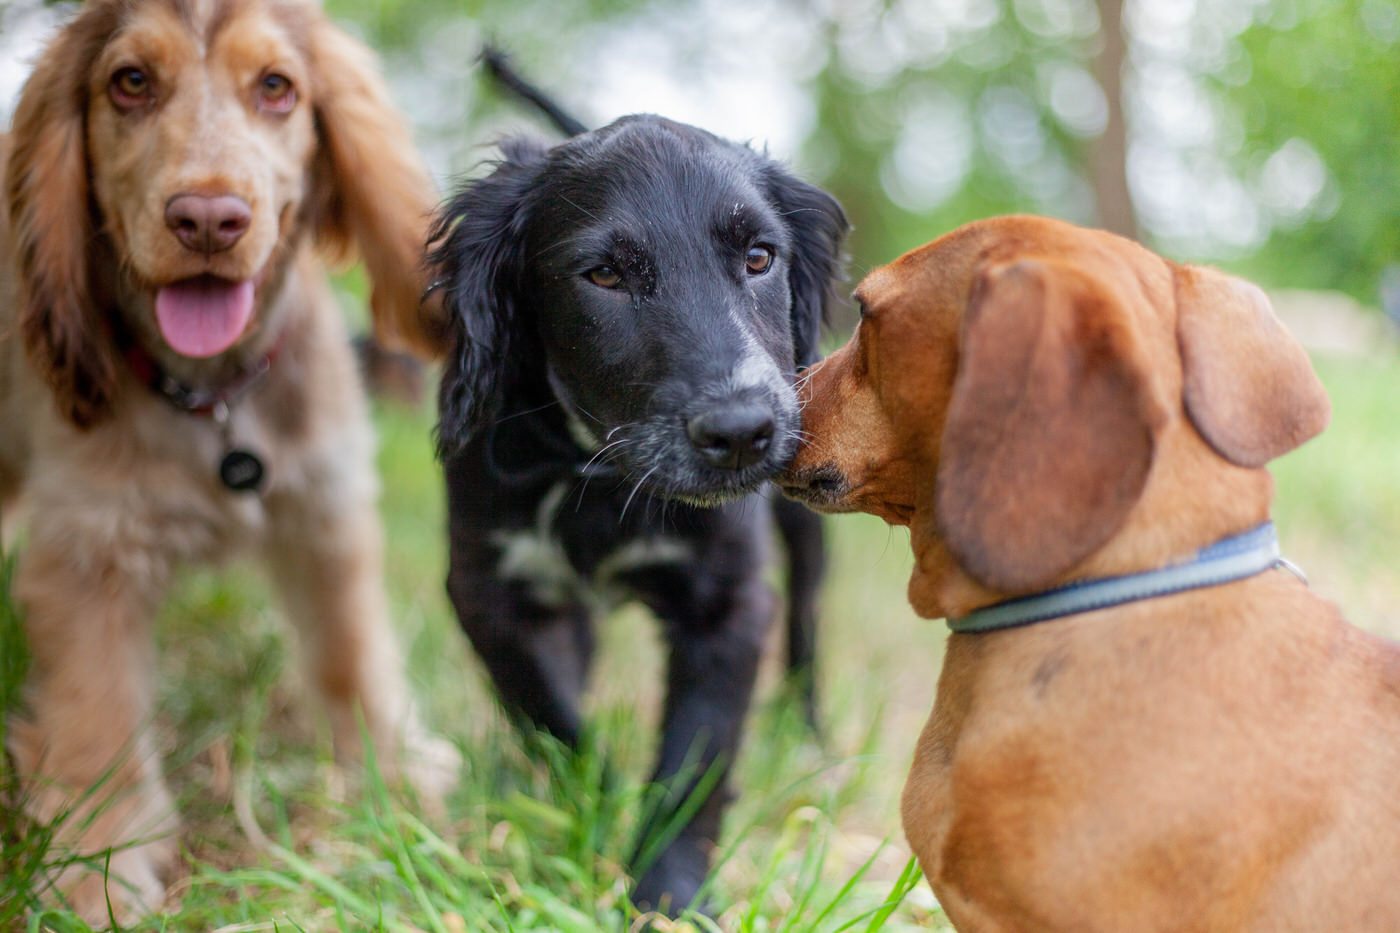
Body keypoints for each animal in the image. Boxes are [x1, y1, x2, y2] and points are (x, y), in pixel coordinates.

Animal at [1, 0, 453, 913]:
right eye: (130, 82)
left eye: (276, 87)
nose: (208, 219)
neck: (212, 402)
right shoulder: (87, 554)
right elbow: (95, 714)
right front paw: (93, 866)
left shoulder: (325, 509)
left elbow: (352, 651)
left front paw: (390, 776)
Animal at [425, 56, 840, 907]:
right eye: (605, 274)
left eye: (759, 257)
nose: (742, 431)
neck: (604, 477)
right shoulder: (486, 588)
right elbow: (553, 716)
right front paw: (589, 810)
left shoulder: (730, 602)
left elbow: (693, 759)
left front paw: (670, 896)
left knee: (809, 620)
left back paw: (813, 738)